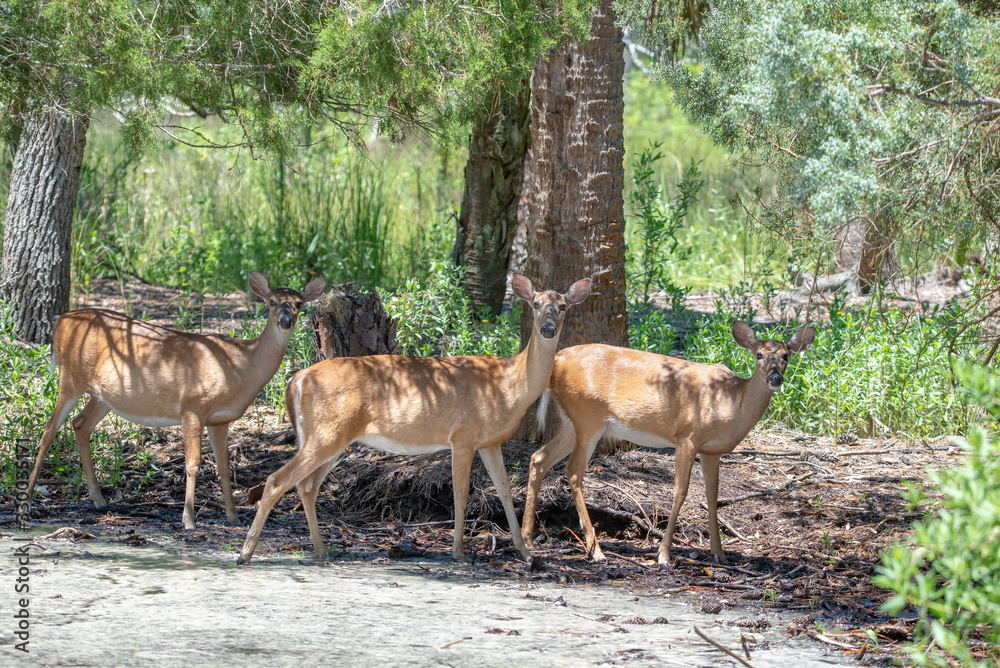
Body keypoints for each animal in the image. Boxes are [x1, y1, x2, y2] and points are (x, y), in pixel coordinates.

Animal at [27, 271, 326, 530]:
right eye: (271, 302)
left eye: (298, 303)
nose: (285, 320)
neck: (241, 365)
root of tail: (62, 320)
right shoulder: (192, 407)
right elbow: (193, 464)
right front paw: (189, 520)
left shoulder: (220, 419)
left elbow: (224, 467)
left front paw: (233, 517)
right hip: (70, 378)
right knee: (49, 430)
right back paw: (29, 497)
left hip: (104, 396)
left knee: (80, 424)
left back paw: (98, 500)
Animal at [236, 273, 591, 565]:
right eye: (535, 304)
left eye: (563, 306)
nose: (548, 329)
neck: (509, 384)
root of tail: (295, 381)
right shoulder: (462, 436)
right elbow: (461, 494)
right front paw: (458, 552)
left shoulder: (490, 441)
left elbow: (504, 492)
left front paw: (525, 552)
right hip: (327, 432)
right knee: (277, 480)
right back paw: (245, 554)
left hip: (334, 437)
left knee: (306, 486)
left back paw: (321, 550)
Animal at [520, 321, 816, 567]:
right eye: (759, 355)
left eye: (786, 356)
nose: (775, 378)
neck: (731, 402)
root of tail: (556, 361)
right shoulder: (687, 437)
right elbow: (680, 492)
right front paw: (663, 555)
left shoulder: (712, 450)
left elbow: (712, 496)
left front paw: (719, 554)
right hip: (588, 415)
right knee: (572, 472)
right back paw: (596, 551)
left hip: (573, 422)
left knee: (538, 458)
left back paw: (527, 538)